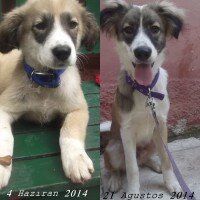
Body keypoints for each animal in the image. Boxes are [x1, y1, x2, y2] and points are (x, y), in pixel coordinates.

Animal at [0, 0, 99, 189]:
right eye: (40, 25)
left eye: (73, 24)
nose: (63, 51)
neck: (46, 81)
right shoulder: (3, 107)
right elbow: (4, 135)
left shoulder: (78, 108)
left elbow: (69, 130)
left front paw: (76, 159)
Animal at [101, 0, 185, 195]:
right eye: (128, 29)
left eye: (155, 29)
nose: (143, 52)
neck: (145, 89)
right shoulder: (126, 132)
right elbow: (132, 168)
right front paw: (133, 192)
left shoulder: (161, 125)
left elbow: (167, 159)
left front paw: (172, 183)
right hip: (114, 147)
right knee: (118, 167)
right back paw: (114, 180)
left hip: (154, 140)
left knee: (146, 159)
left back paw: (155, 164)